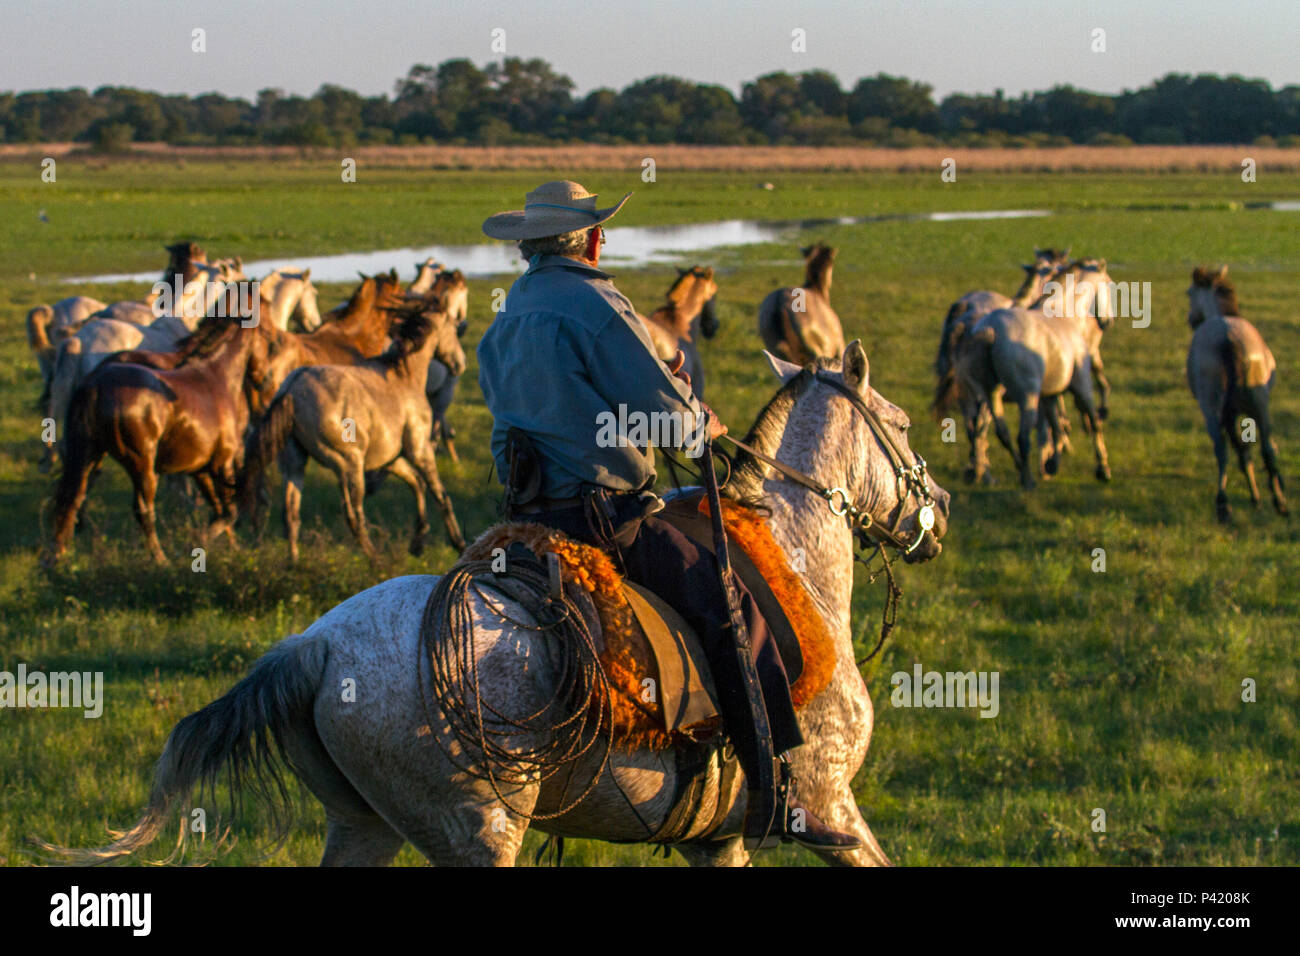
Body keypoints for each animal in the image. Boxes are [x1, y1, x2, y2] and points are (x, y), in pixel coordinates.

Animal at [45, 343, 951, 868]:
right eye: (904, 424)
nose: (938, 512)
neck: (790, 557)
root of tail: (315, 648)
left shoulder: (717, 840)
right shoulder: (828, 810)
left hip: (363, 826)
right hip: (479, 834)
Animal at [1190, 264, 1289, 522]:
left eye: (1189, 293)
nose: (1192, 319)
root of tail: (1227, 338)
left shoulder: (1230, 414)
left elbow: (1242, 453)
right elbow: (1255, 451)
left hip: (1214, 410)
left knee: (1225, 450)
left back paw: (1224, 503)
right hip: (1259, 405)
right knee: (1265, 449)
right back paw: (1279, 502)